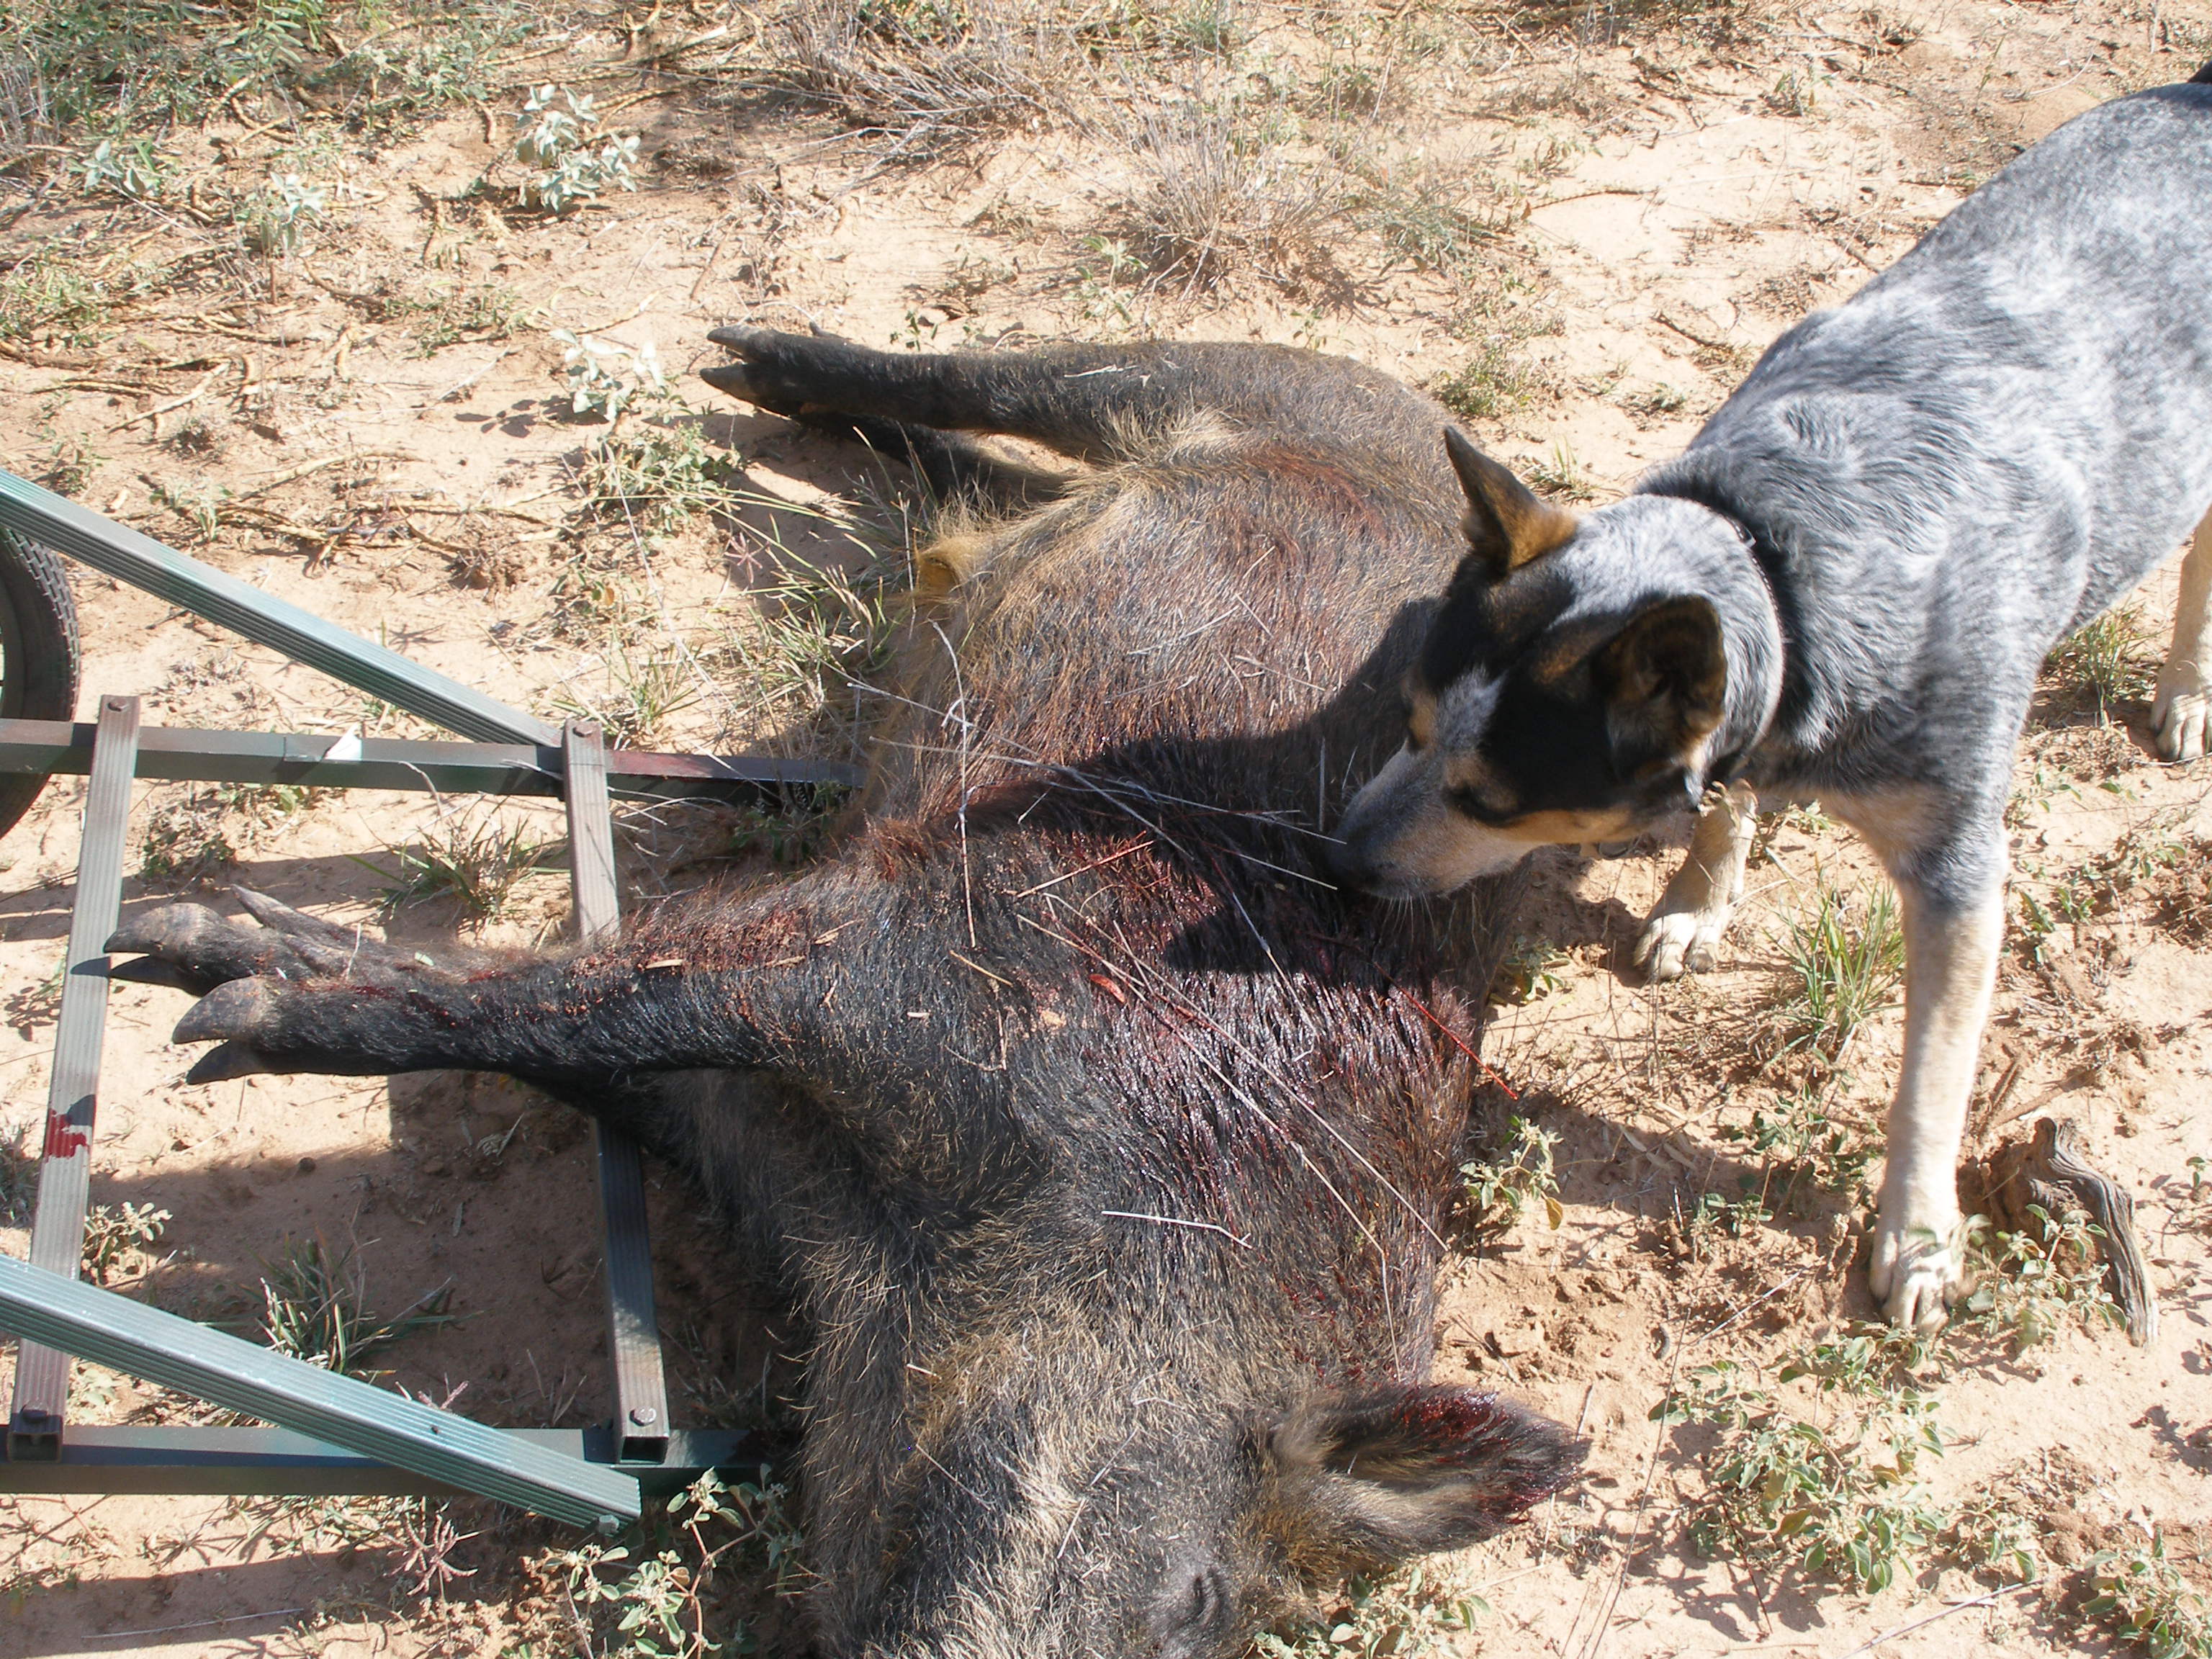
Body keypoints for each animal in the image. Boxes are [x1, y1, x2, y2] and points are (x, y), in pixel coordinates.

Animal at [112, 331, 1583, 1654]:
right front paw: (182, 978)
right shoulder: (914, 964)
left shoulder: (753, 1133)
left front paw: (213, 953)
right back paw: (738, 362)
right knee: (1000, 378)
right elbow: (597, 995)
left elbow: (567, 1020)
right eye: (1198, 1600)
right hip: (1242, 376)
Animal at [1318, 68, 2212, 1336]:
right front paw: (1699, 902)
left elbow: (1931, 1076)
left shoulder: (1960, 871)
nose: (1334, 861)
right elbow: (1724, 802)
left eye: (1492, 803)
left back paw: (2186, 689)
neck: (1783, 557)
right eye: (1409, 726)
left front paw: (1919, 1236)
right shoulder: (1748, 718)